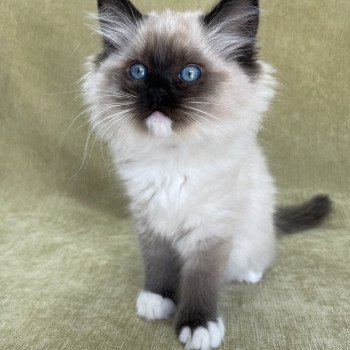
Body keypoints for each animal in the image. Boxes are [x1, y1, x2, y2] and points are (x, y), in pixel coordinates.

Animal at [81, 1, 330, 348]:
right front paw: (158, 299)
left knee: (258, 254)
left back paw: (250, 273)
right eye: (138, 72)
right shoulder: (151, 220)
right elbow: (158, 264)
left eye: (189, 74)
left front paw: (198, 326)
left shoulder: (210, 230)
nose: (157, 93)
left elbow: (201, 280)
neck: (171, 159)